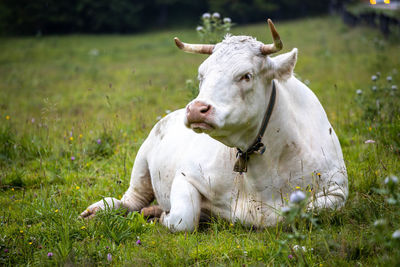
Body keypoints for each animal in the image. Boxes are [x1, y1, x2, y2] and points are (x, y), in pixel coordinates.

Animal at [80, 19, 346, 232]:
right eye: (202, 75)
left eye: (246, 76)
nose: (196, 109)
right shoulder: (186, 174)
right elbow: (182, 219)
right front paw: (161, 215)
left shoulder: (337, 192)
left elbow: (302, 213)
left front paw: (159, 213)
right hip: (142, 162)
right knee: (130, 200)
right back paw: (101, 209)